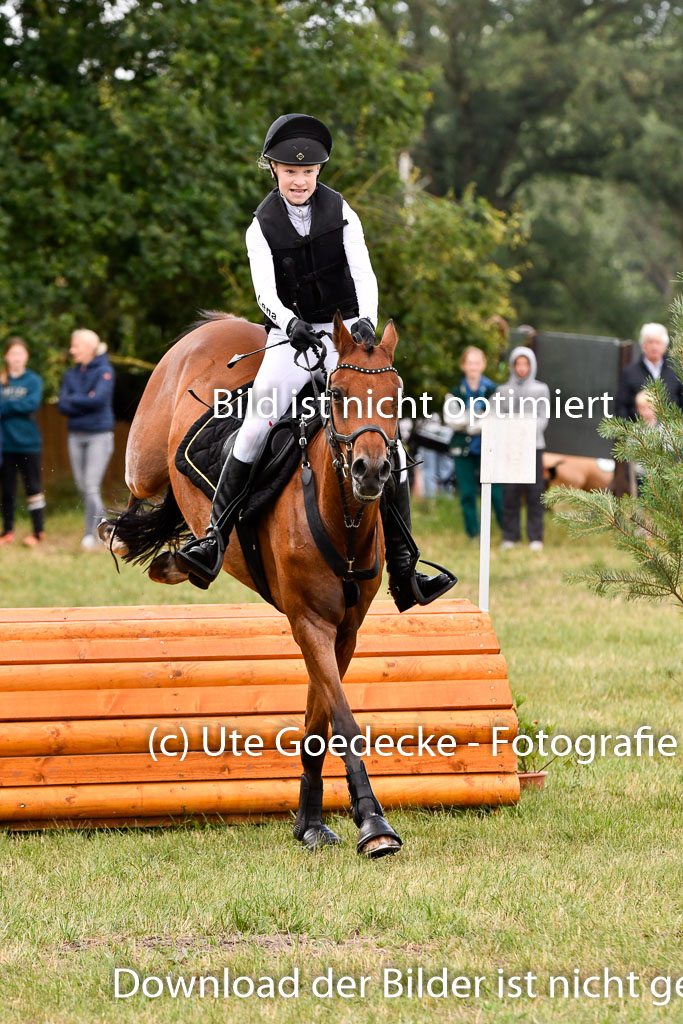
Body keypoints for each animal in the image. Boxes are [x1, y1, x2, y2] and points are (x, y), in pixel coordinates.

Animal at [105, 311, 405, 856]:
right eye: (338, 394)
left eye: (396, 395)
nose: (371, 471)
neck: (343, 519)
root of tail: (220, 325)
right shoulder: (309, 623)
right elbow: (343, 721)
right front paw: (373, 823)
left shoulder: (343, 632)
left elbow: (319, 721)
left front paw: (311, 822)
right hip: (144, 461)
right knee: (142, 490)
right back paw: (139, 541)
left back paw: (180, 560)